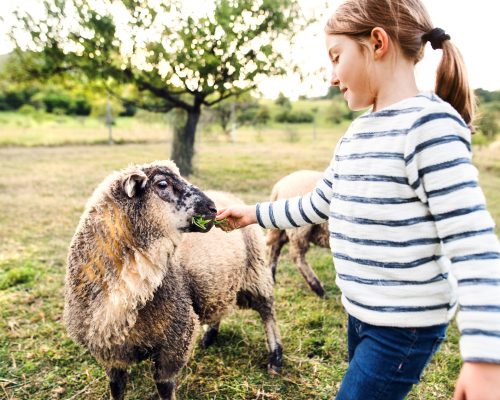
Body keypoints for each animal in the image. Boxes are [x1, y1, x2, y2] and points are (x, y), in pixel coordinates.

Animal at [64, 161, 282, 400]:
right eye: (162, 184)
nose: (213, 209)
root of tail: (226, 194)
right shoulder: (109, 351)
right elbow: (116, 387)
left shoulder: (176, 338)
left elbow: (165, 387)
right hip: (219, 282)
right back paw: (209, 337)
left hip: (256, 272)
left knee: (267, 312)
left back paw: (275, 358)